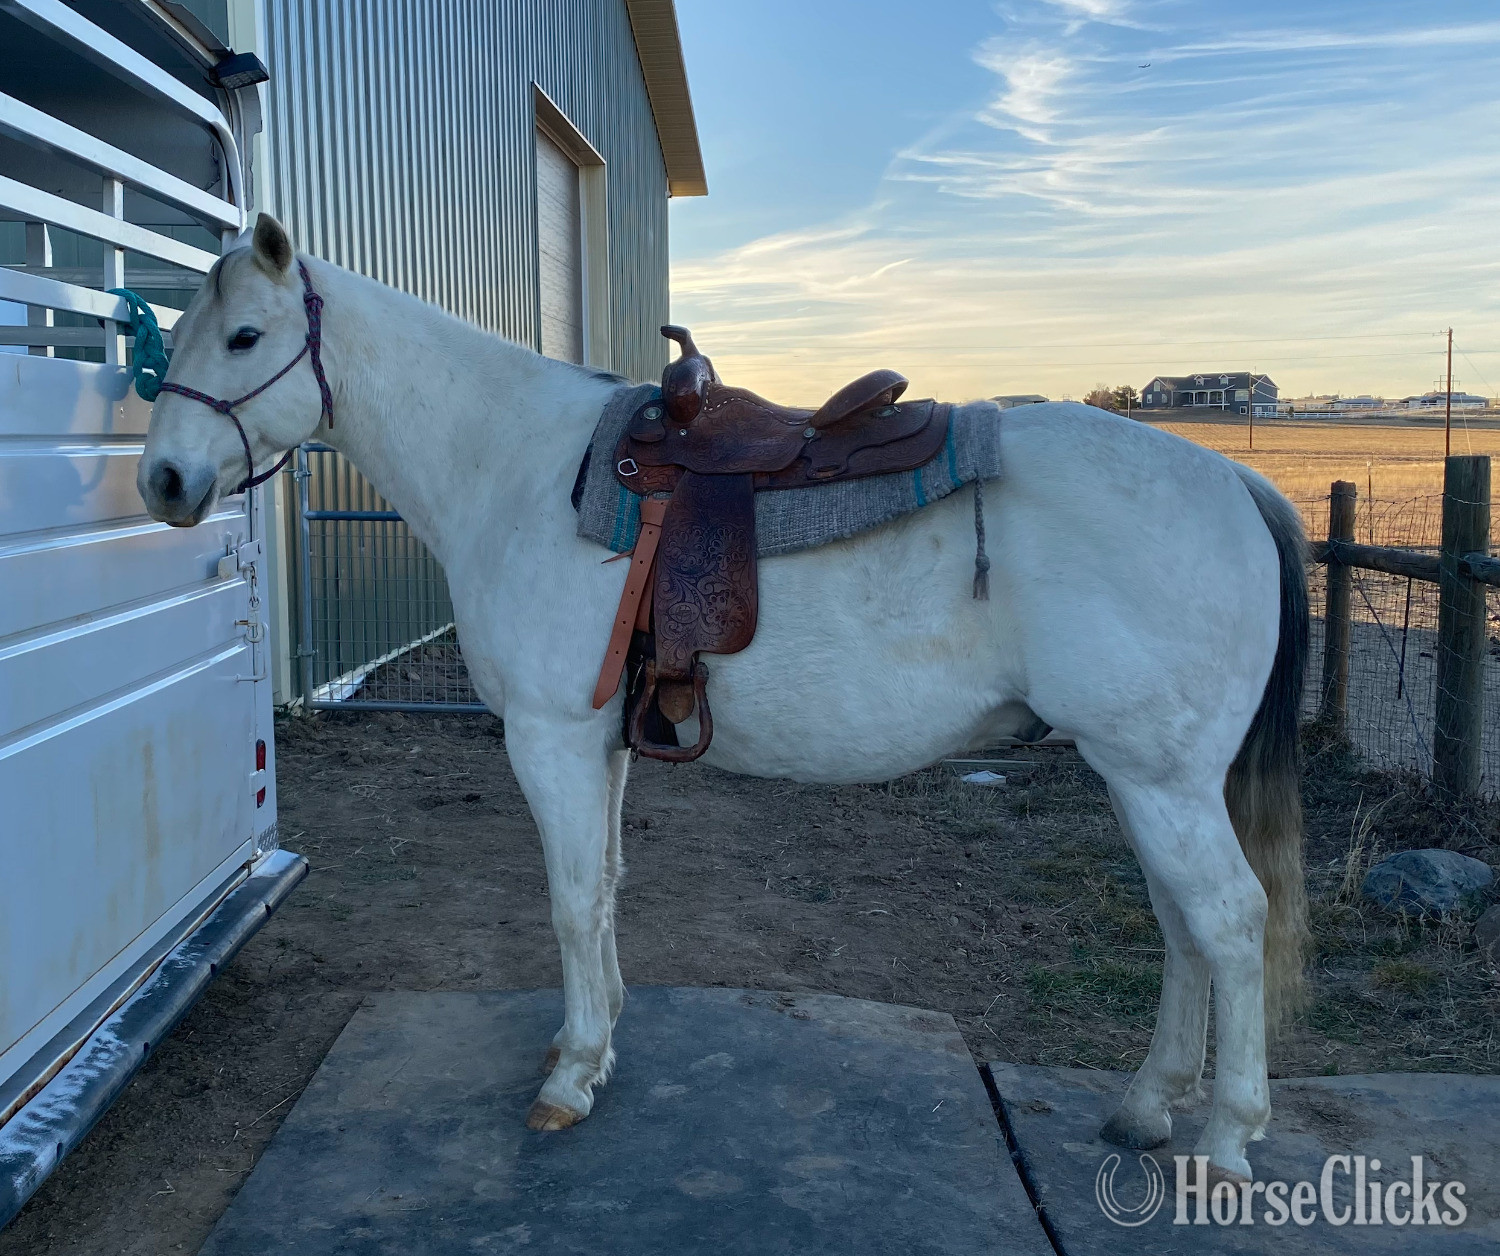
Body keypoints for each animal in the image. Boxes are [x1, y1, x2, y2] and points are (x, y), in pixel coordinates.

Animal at [137, 214, 1309, 1182]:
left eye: (244, 336)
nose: (161, 483)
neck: (517, 469)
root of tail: (1235, 481)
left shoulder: (551, 739)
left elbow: (572, 898)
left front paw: (570, 1076)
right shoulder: (603, 742)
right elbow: (607, 886)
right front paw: (598, 1036)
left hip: (1159, 777)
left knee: (1228, 919)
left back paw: (1225, 1138)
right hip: (1141, 777)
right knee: (1180, 923)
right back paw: (1147, 1106)